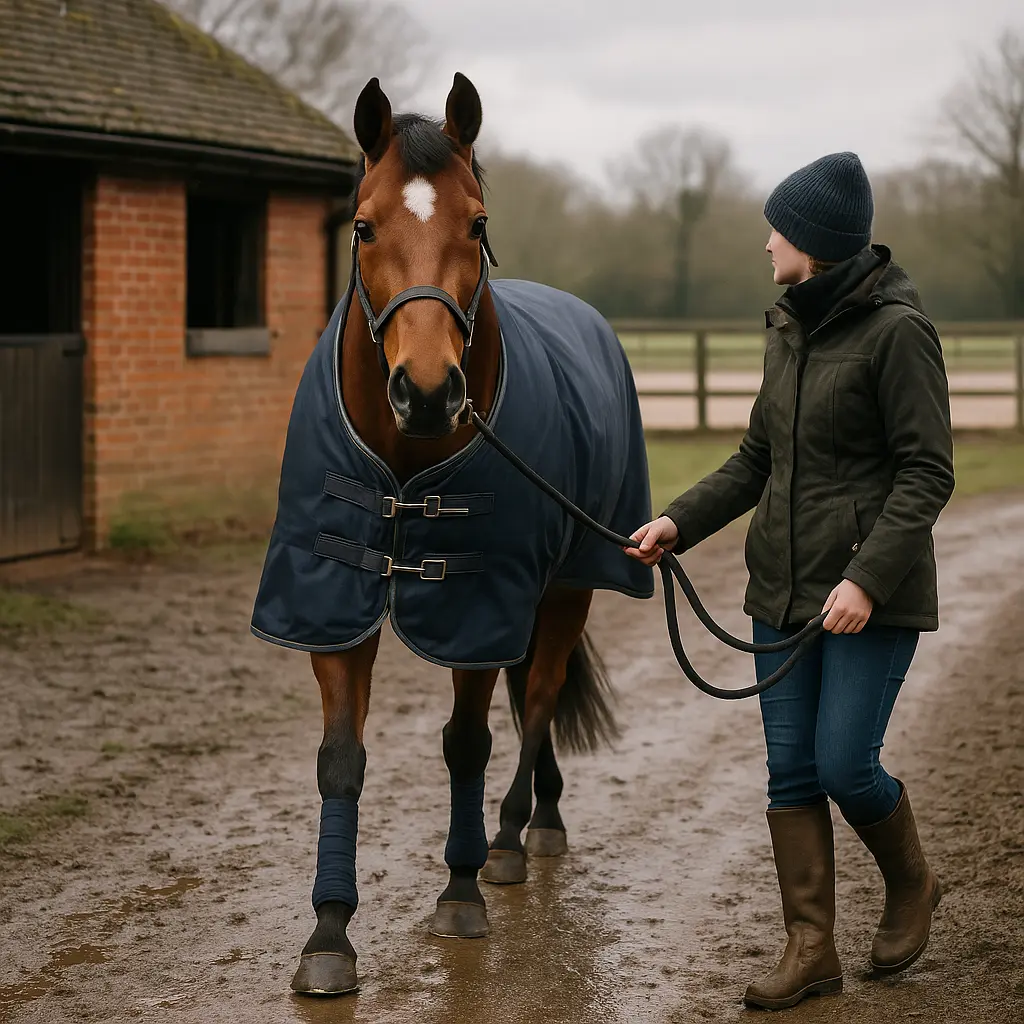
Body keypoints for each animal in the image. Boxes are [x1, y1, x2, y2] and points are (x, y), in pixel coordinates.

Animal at [250, 72, 654, 995]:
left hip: (566, 588)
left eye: (476, 223)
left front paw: (461, 889)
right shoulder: (337, 607)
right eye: (363, 225)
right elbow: (341, 759)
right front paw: (329, 932)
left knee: (536, 698)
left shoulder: (476, 603)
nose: (430, 391)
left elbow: (467, 743)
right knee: (528, 688)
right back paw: (543, 812)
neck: (407, 462)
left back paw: (511, 835)